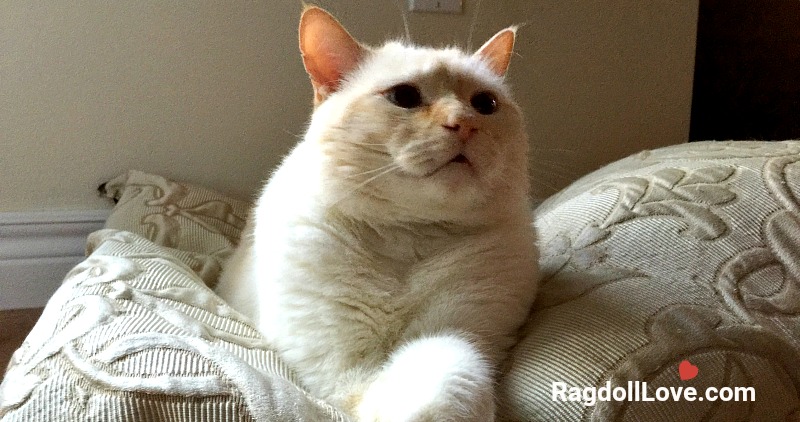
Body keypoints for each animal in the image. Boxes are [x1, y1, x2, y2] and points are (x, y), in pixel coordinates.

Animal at [216, 7, 540, 422]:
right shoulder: (342, 372)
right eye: (404, 96)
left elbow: (452, 369)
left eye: (485, 104)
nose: (465, 123)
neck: (410, 235)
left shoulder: (462, 331)